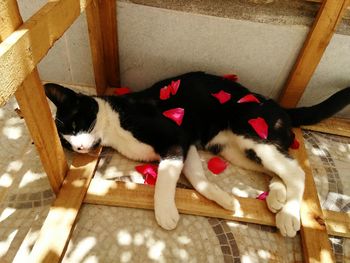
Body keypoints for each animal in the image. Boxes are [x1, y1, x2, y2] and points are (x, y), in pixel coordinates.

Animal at [45, 71, 350, 238]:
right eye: (67, 143)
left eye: (75, 124)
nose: (79, 148)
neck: (114, 125)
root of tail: (278, 106)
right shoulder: (187, 144)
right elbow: (197, 178)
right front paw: (225, 199)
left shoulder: (174, 138)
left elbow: (166, 178)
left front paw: (165, 211)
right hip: (234, 149)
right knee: (277, 168)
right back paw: (276, 196)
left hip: (250, 132)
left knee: (295, 172)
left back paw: (288, 215)